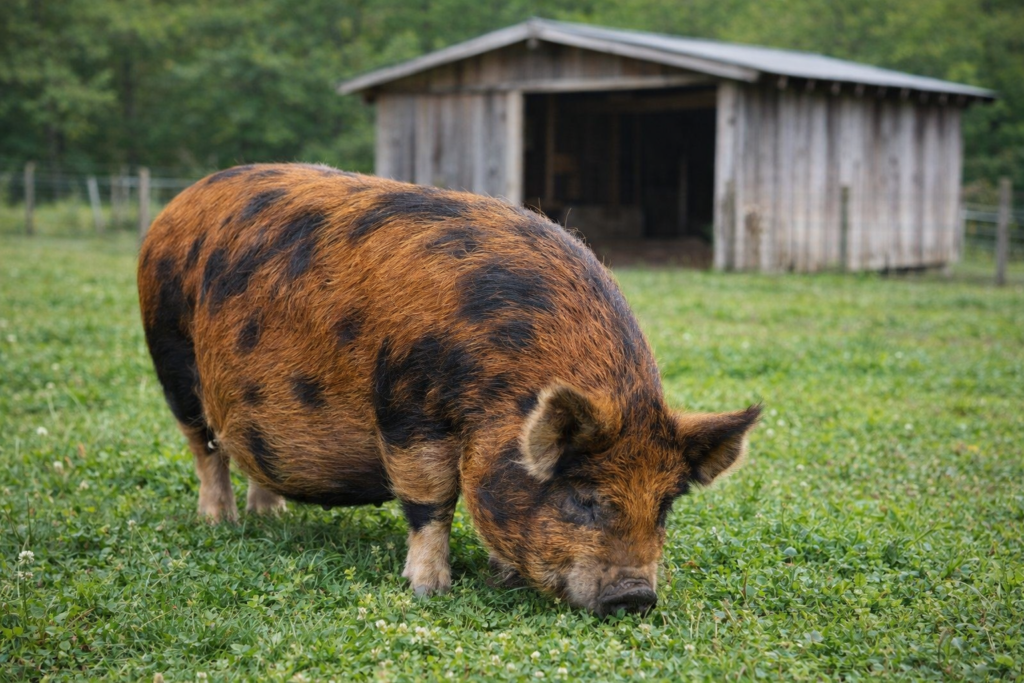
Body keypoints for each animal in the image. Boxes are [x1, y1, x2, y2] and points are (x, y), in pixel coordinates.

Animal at [137, 163, 759, 616]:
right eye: (583, 497)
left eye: (666, 505)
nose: (636, 597)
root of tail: (175, 205)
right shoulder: (408, 409)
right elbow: (432, 498)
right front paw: (430, 591)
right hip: (170, 353)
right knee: (204, 447)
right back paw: (220, 523)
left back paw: (271, 518)